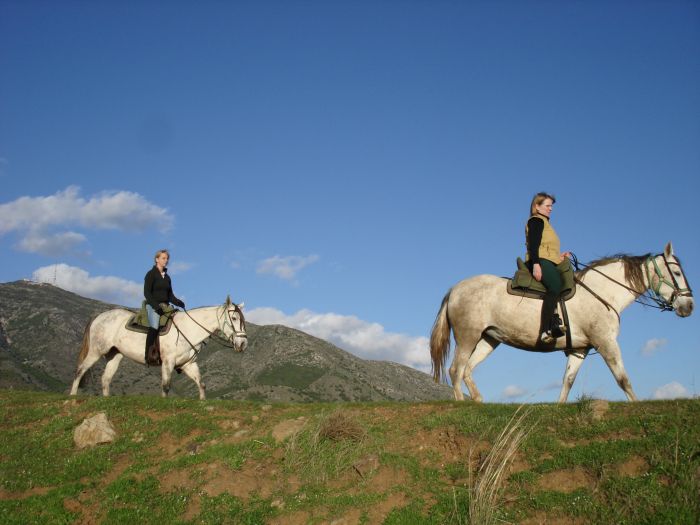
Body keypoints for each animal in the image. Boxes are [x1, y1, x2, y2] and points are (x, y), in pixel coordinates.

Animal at [69, 296, 247, 400]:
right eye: (233, 318)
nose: (243, 344)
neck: (188, 328)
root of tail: (98, 316)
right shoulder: (168, 362)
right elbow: (166, 386)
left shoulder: (188, 364)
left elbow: (201, 384)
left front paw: (202, 403)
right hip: (95, 351)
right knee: (80, 370)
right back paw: (72, 395)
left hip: (115, 355)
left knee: (105, 378)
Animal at [430, 242, 692, 402]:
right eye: (677, 273)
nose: (689, 307)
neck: (603, 292)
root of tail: (455, 289)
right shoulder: (606, 343)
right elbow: (623, 379)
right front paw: (635, 404)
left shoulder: (579, 349)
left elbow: (567, 382)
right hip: (468, 336)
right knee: (456, 370)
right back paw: (463, 403)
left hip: (489, 339)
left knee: (468, 371)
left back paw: (478, 400)